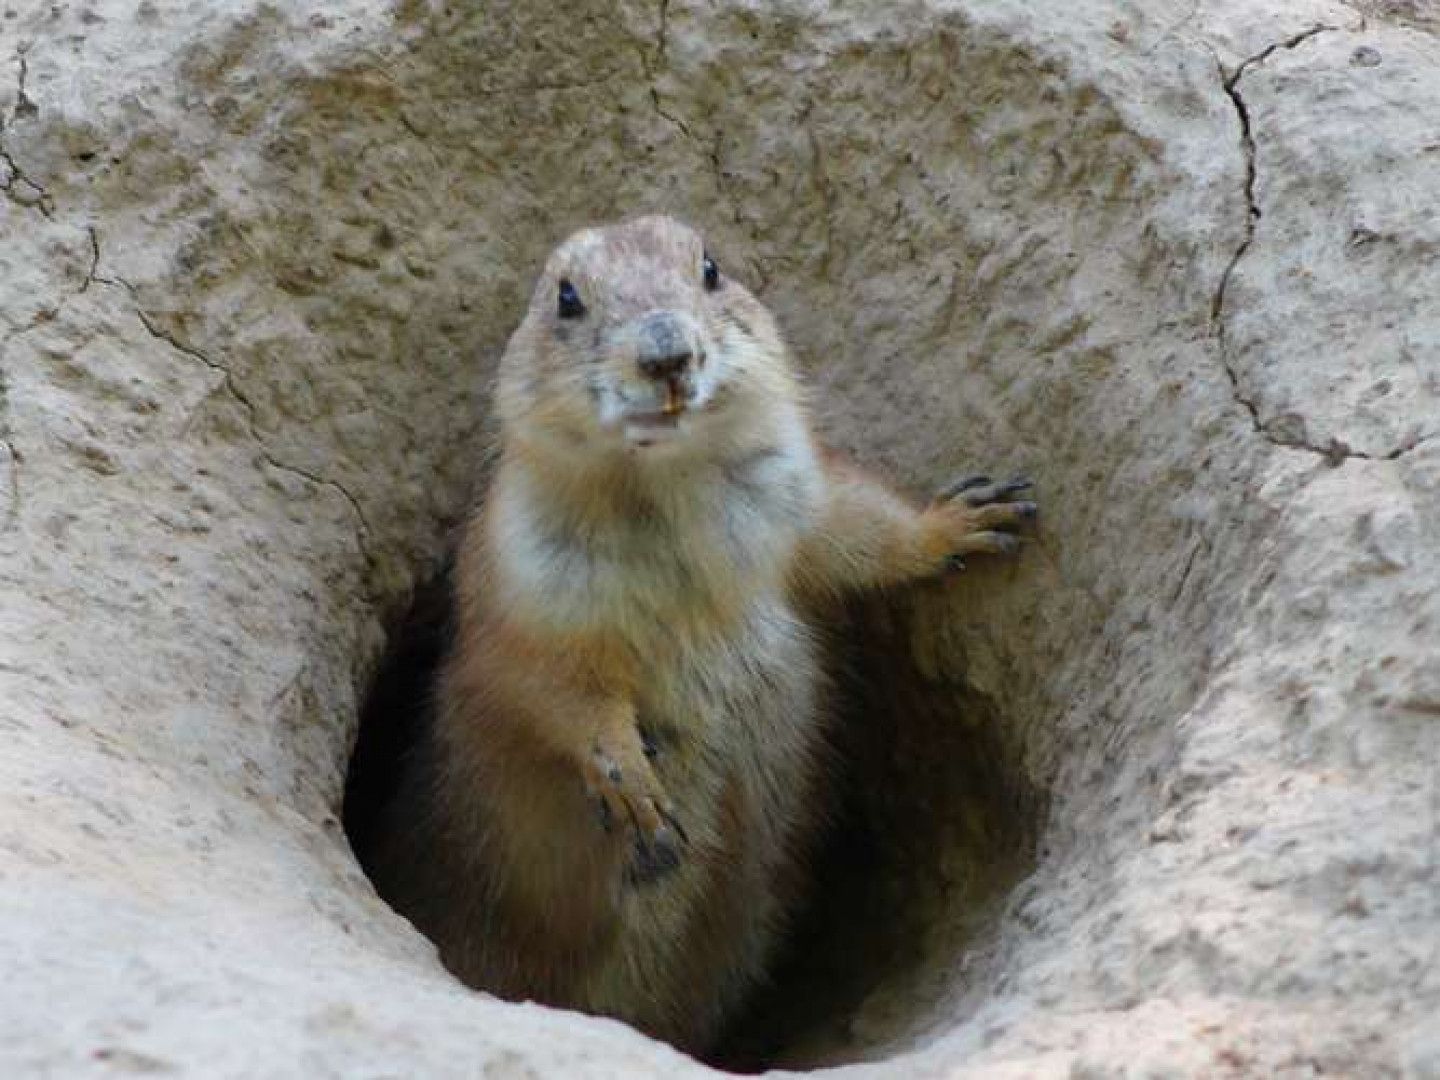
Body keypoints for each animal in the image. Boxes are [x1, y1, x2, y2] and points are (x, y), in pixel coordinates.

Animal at [362, 216, 1036, 1059]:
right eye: (567, 298)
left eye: (712, 268)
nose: (666, 353)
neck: (662, 486)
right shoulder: (521, 581)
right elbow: (547, 683)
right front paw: (635, 785)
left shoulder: (795, 493)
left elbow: (858, 523)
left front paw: (979, 513)